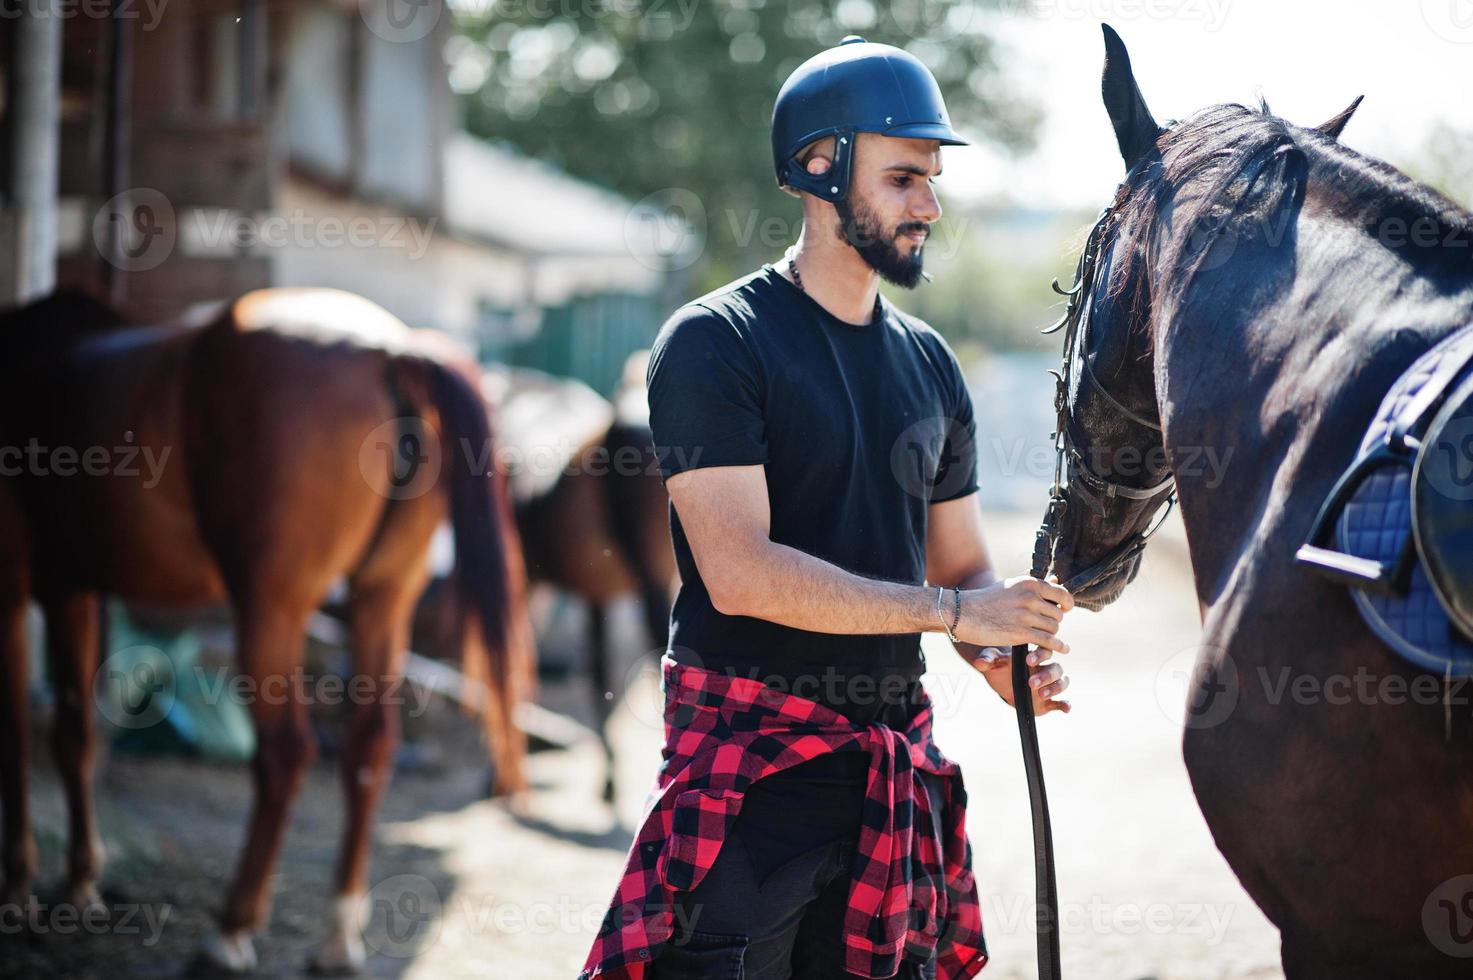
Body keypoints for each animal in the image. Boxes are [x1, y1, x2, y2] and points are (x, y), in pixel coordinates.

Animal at [0, 282, 530, 972]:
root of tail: (392, 349)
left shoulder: (19, 587)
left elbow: (17, 735)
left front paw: (20, 887)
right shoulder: (76, 591)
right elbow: (74, 737)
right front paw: (79, 882)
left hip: (269, 609)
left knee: (284, 754)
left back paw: (232, 930)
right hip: (382, 599)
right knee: (369, 745)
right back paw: (337, 933)